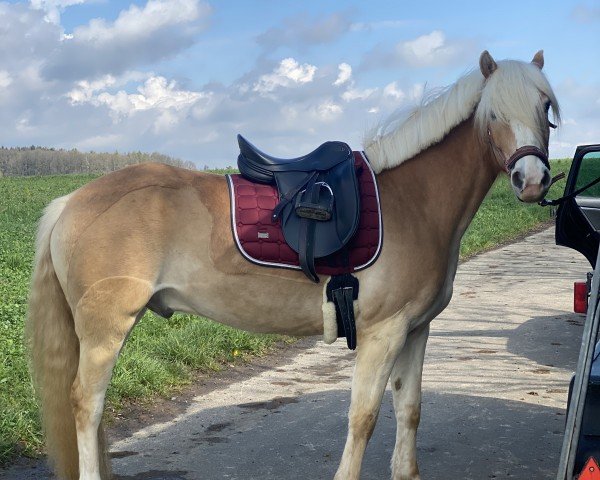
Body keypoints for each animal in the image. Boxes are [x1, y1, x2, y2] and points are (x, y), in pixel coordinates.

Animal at [27, 49, 564, 480]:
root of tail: (72, 202)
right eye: (494, 112)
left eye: (544, 107)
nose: (531, 179)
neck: (413, 201)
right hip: (105, 329)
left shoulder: (416, 330)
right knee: (86, 405)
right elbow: (363, 418)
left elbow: (409, 410)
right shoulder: (383, 333)